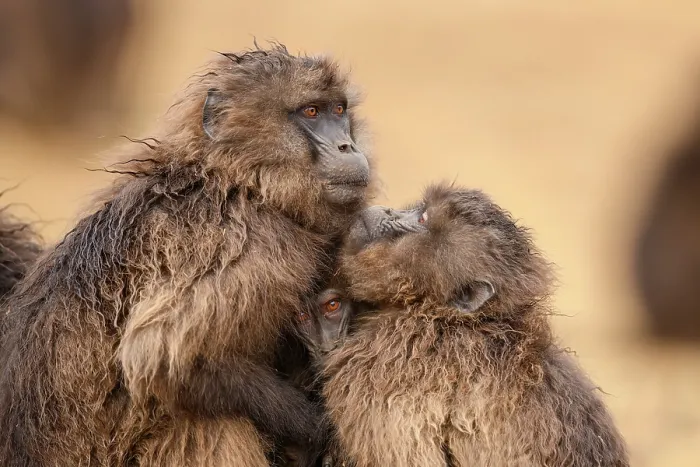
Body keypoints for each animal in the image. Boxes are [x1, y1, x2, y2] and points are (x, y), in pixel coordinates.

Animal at [0, 44, 374, 466]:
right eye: (311, 112)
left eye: (338, 111)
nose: (348, 146)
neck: (239, 180)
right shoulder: (243, 241)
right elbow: (160, 358)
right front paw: (317, 428)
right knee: (208, 420)